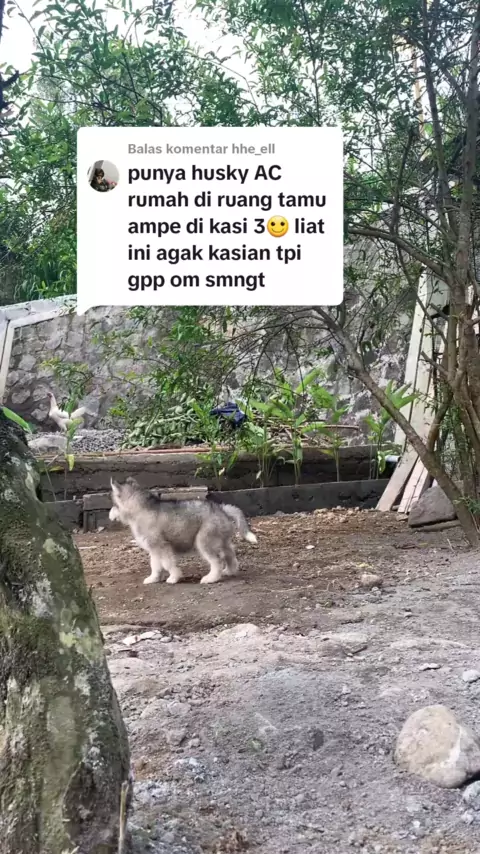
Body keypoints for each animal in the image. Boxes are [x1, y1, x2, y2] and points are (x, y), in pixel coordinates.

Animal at [109, 477, 257, 585]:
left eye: (114, 505)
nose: (109, 516)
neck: (141, 508)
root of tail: (221, 508)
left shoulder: (163, 546)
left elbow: (167, 564)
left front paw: (174, 577)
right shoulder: (154, 549)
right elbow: (155, 565)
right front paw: (153, 578)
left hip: (204, 541)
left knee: (217, 561)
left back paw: (211, 578)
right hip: (221, 540)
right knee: (230, 553)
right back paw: (230, 571)